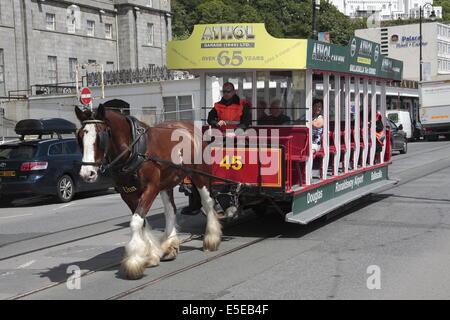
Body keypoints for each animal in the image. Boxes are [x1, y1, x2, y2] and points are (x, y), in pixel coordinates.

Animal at [75, 105, 223, 280]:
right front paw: (150, 255)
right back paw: (169, 245)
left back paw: (211, 239)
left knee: (207, 203)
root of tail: (190, 127)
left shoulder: (151, 188)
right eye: (80, 137)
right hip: (167, 182)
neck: (133, 151)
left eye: (100, 136)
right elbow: (141, 221)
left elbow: (136, 221)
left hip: (200, 175)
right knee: (170, 210)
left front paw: (134, 261)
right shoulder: (127, 194)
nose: (87, 173)